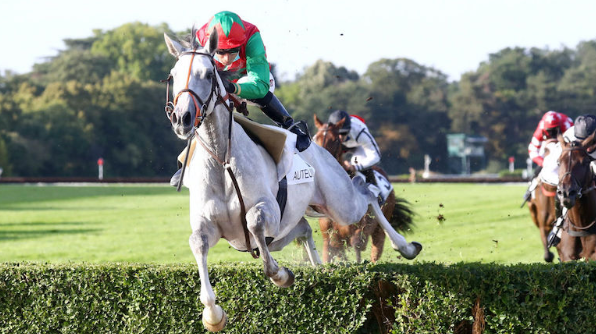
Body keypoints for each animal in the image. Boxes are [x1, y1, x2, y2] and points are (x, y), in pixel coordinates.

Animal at [312, 115, 414, 264]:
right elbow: (332, 249)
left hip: (380, 228)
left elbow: (357, 243)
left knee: (376, 249)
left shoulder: (365, 224)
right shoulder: (329, 234)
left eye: (335, 140)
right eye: (315, 138)